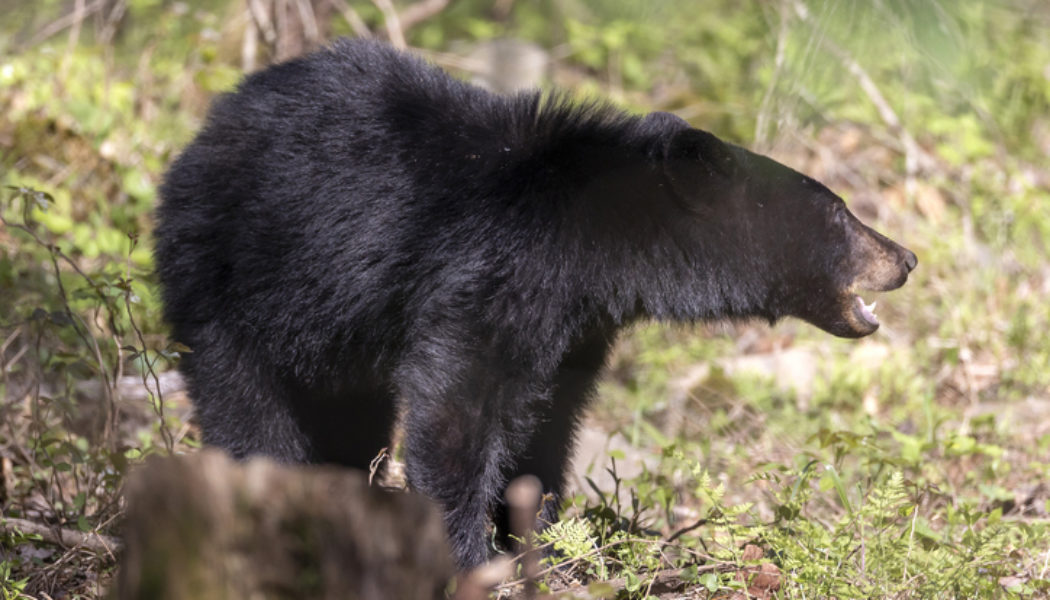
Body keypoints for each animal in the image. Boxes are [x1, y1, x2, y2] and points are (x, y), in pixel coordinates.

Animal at [152, 38, 915, 567]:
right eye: (841, 213)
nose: (905, 257)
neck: (595, 239)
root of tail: (202, 133)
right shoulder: (493, 273)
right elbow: (460, 409)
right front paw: (468, 553)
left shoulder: (576, 320)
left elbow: (547, 416)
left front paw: (540, 534)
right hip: (229, 275)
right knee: (249, 411)